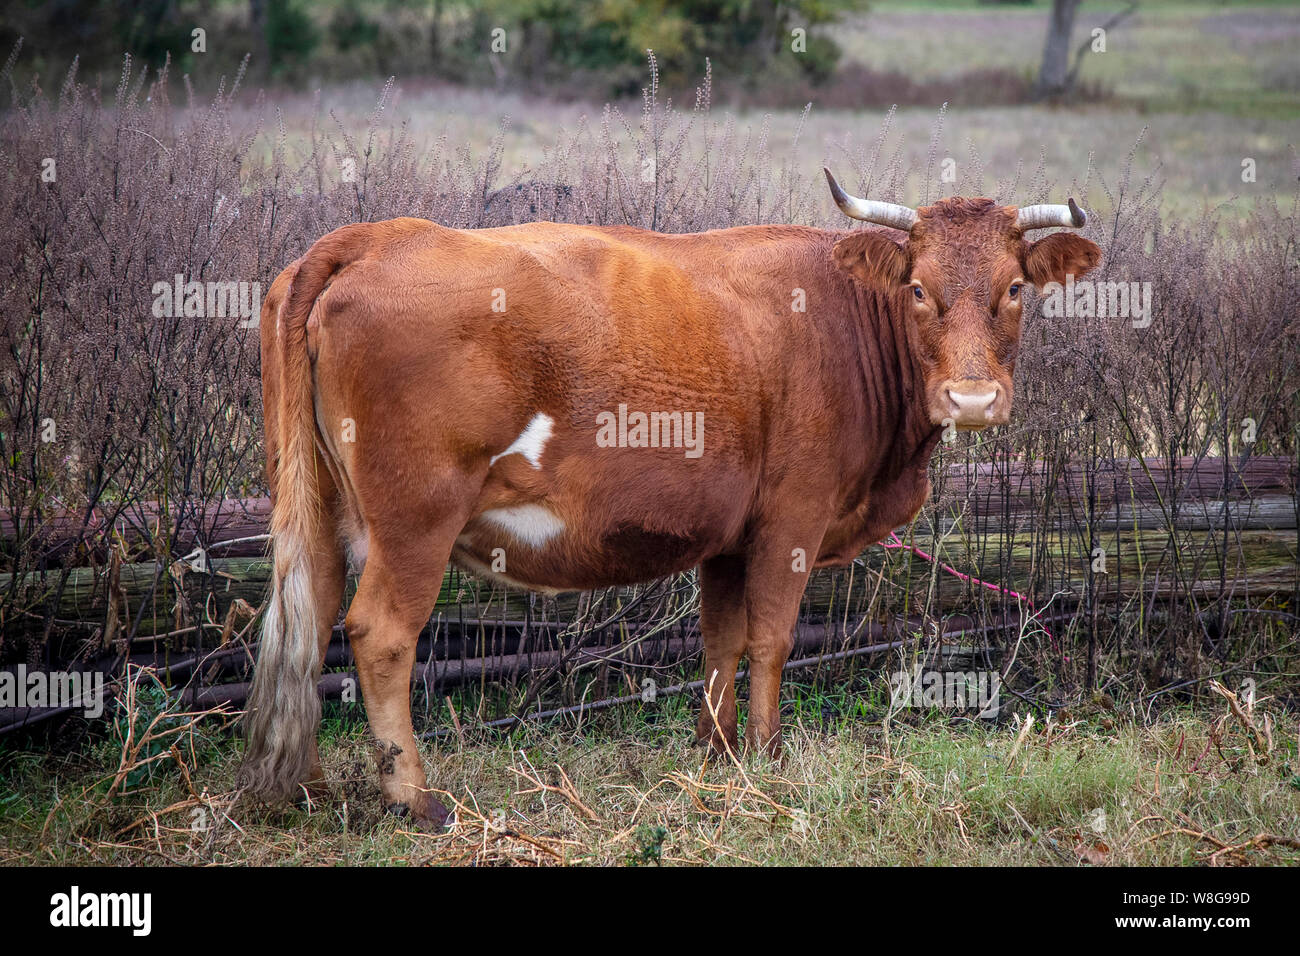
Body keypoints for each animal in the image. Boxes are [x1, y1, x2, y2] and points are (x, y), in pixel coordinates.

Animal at [238, 169, 1101, 827]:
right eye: (919, 289)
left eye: (1015, 287)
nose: (973, 399)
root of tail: (373, 236)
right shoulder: (793, 516)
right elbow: (771, 638)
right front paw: (765, 758)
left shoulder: (727, 537)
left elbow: (721, 641)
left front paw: (713, 752)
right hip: (415, 519)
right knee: (380, 633)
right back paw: (415, 800)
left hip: (316, 507)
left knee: (306, 615)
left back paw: (308, 786)